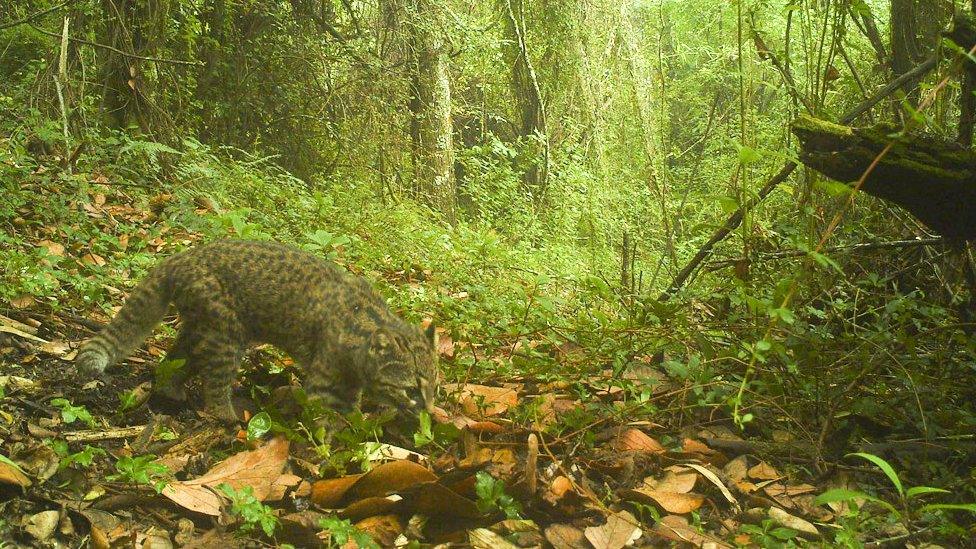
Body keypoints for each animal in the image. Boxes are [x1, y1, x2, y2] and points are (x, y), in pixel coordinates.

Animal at [76, 238, 438, 422]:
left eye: (435, 387)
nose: (430, 413)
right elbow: (325, 419)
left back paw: (171, 390)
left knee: (173, 361)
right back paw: (227, 415)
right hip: (225, 335)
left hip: (202, 327)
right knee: (214, 385)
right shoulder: (325, 382)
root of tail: (178, 258)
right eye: (411, 389)